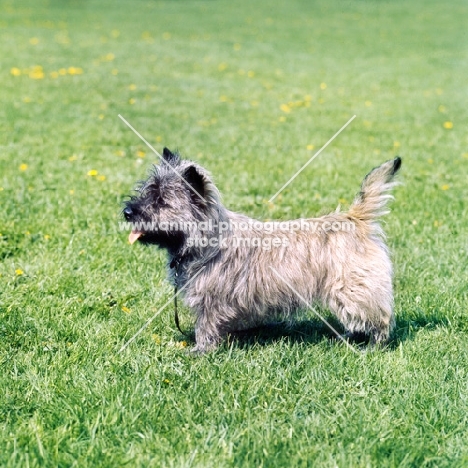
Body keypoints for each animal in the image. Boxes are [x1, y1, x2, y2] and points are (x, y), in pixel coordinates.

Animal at [124, 148, 402, 352]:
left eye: (161, 202)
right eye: (145, 192)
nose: (127, 211)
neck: (208, 239)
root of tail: (353, 218)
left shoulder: (211, 300)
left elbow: (206, 326)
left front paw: (201, 351)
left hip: (352, 289)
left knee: (379, 317)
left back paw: (373, 345)